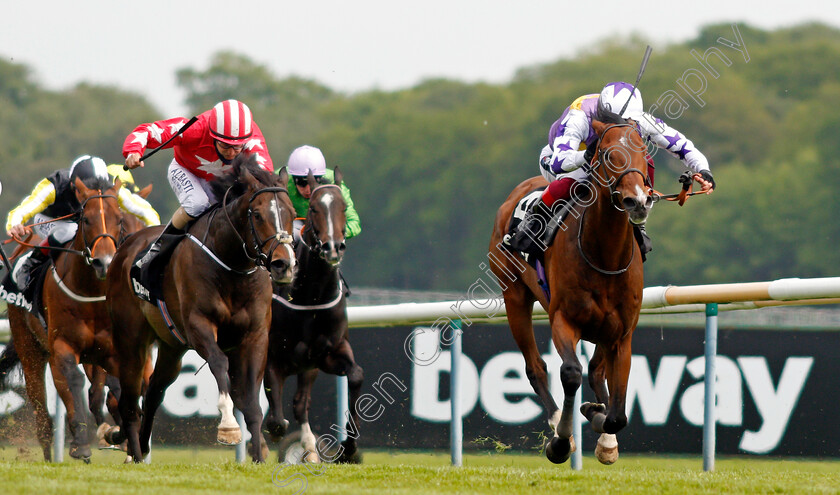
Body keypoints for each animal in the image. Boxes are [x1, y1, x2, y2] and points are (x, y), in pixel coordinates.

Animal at [1, 177, 130, 462]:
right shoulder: (61, 346)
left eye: (120, 219)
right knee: (41, 409)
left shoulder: (108, 348)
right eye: (87, 219)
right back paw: (51, 455)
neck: (90, 291)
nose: (104, 262)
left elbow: (109, 391)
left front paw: (118, 433)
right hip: (30, 349)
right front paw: (80, 443)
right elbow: (73, 381)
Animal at [106, 155, 298, 464]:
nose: (284, 264)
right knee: (130, 400)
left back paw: (144, 447)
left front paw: (258, 457)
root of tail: (125, 248)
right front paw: (229, 426)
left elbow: (251, 401)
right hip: (131, 340)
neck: (232, 266)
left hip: (171, 347)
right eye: (257, 215)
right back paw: (134, 453)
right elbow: (219, 363)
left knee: (154, 390)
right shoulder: (199, 325)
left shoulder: (255, 335)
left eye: (291, 212)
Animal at [266, 170, 364, 464]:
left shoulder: (325, 354)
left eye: (343, 207)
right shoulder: (273, 356)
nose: (333, 248)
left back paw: (310, 449)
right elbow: (276, 416)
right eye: (313, 208)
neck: (311, 296)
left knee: (300, 403)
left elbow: (356, 375)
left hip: (307, 368)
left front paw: (349, 446)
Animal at [488, 106, 652, 466]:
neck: (604, 255)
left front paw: (600, 422)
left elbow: (617, 412)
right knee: (536, 367)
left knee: (597, 370)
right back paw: (555, 421)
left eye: (645, 153)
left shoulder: (622, 333)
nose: (637, 201)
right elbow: (571, 373)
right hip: (514, 297)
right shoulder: (564, 318)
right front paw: (562, 439)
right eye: (606, 154)